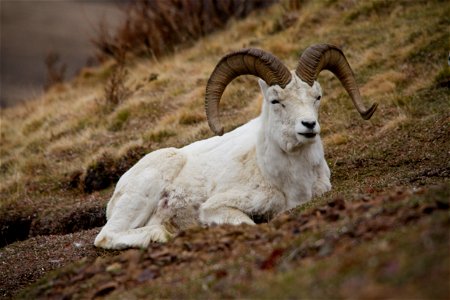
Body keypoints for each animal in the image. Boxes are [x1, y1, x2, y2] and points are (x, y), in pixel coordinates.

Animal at [94, 44, 376, 248]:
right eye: (275, 100)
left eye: (317, 96)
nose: (308, 125)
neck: (290, 180)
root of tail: (118, 189)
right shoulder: (216, 207)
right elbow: (248, 224)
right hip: (144, 191)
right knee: (107, 236)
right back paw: (162, 234)